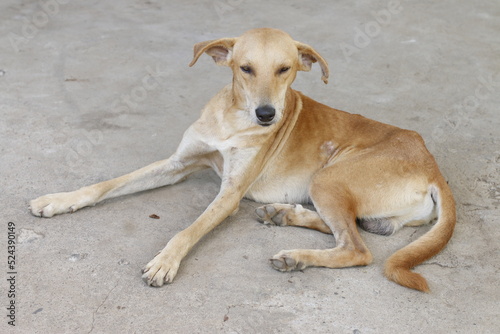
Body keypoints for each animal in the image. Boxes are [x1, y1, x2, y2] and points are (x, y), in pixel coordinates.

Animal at [29, 28, 456, 292]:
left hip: (329, 178)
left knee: (357, 248)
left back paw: (295, 256)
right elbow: (108, 184)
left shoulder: (230, 194)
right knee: (360, 228)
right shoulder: (177, 164)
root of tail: (433, 166)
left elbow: (188, 230)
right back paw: (284, 214)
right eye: (245, 69)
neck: (232, 121)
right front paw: (58, 200)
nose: (267, 115)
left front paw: (166, 260)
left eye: (285, 69)